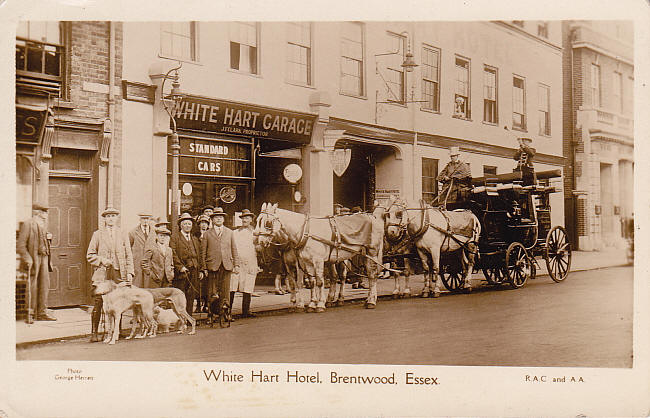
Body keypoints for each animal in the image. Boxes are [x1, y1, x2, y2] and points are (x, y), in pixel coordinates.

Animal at [253, 202, 384, 310]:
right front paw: (311, 303)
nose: (260, 242)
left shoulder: (316, 261)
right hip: (354, 256)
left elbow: (318, 282)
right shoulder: (305, 262)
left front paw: (318, 304)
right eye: (257, 220)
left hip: (371, 253)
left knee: (369, 275)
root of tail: (372, 217)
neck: (305, 232)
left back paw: (370, 301)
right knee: (337, 277)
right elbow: (309, 282)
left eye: (268, 222)